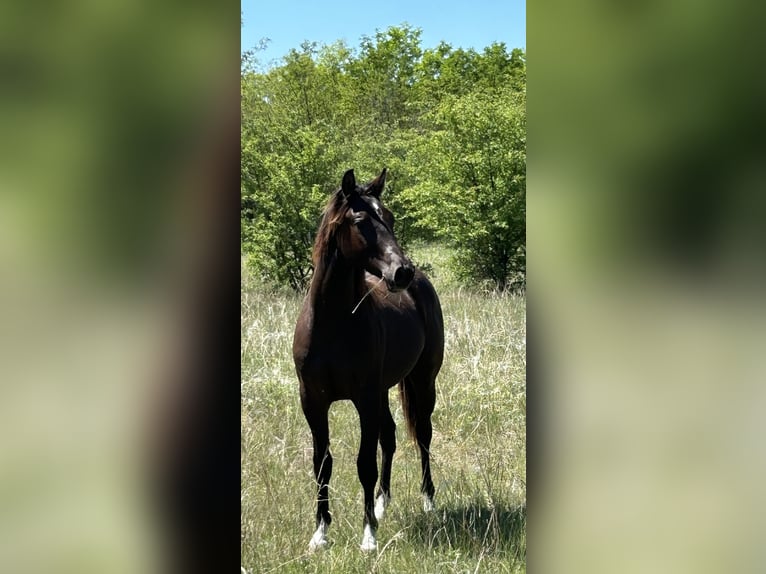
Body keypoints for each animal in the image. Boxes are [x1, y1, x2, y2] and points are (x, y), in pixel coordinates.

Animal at [296, 168, 450, 552]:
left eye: (390, 218)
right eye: (360, 220)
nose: (402, 271)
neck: (332, 324)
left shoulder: (363, 398)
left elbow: (364, 462)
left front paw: (368, 536)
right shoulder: (312, 401)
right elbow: (322, 463)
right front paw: (320, 533)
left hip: (422, 382)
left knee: (422, 435)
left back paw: (428, 501)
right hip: (382, 391)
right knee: (390, 437)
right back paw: (382, 502)